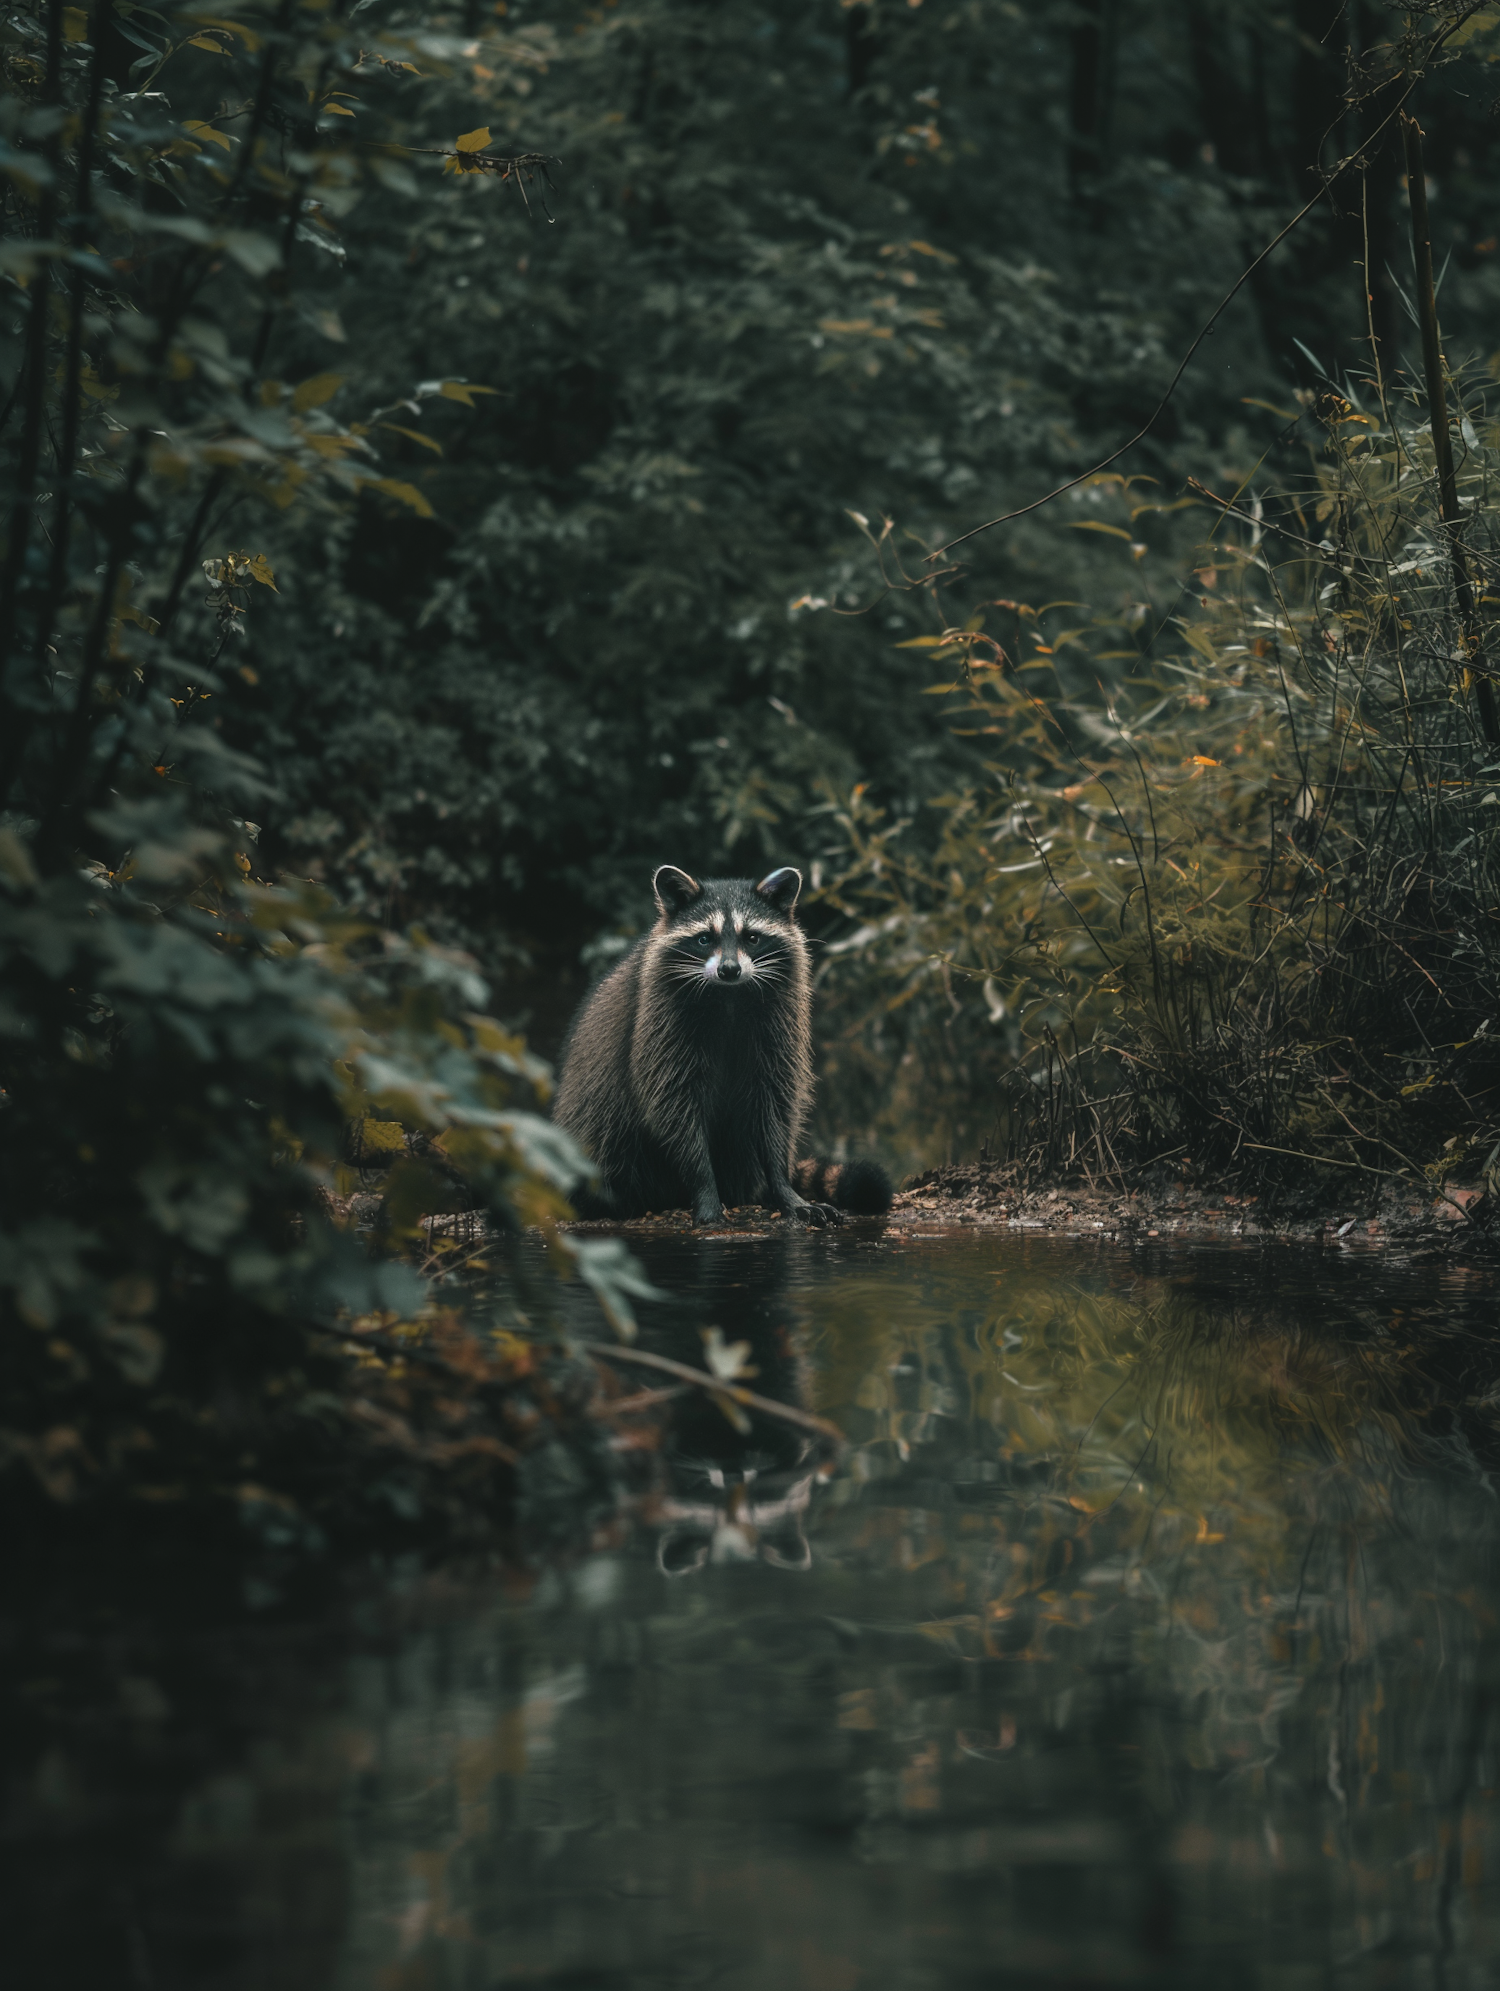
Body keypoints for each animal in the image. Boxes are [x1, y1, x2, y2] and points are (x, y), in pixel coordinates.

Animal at [557, 868, 896, 1226]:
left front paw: (783, 1187)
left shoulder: (779, 1026)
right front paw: (705, 1188)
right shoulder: (658, 1024)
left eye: (752, 937)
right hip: (597, 1130)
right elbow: (672, 1106)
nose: (729, 970)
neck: (729, 994)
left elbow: (775, 1106)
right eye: (705, 938)